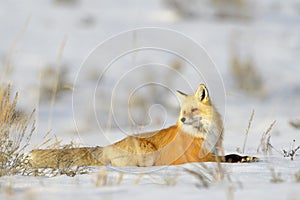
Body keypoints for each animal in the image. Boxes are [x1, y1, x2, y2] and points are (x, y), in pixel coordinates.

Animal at [28, 83, 258, 168]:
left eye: (193, 110)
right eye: (182, 113)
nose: (183, 121)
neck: (203, 135)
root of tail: (108, 146)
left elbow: (231, 155)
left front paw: (247, 157)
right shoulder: (197, 157)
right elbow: (224, 159)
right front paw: (239, 160)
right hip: (147, 153)